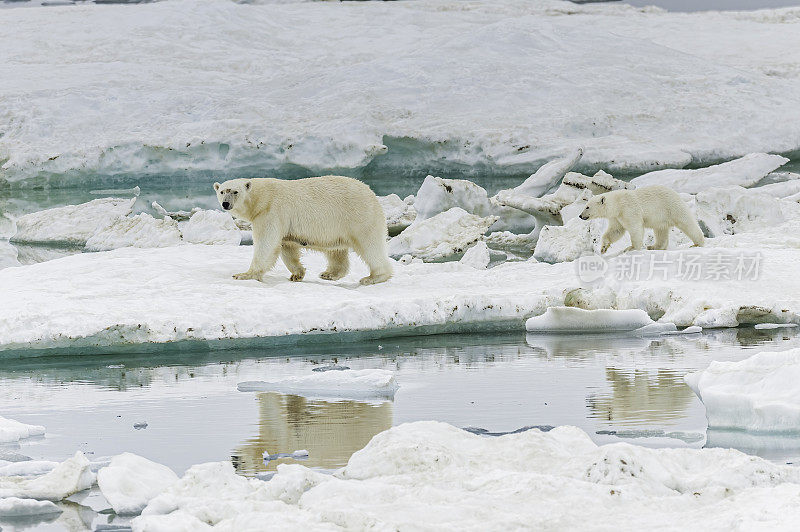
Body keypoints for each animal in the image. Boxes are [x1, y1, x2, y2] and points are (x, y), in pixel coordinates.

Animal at [214, 177, 392, 284]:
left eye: (235, 191)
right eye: (222, 191)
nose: (225, 204)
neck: (262, 197)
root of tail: (371, 193)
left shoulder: (271, 212)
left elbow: (266, 244)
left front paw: (244, 274)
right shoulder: (282, 222)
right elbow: (286, 247)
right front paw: (297, 274)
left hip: (360, 216)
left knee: (370, 246)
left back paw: (374, 277)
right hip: (339, 227)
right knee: (336, 252)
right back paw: (329, 274)